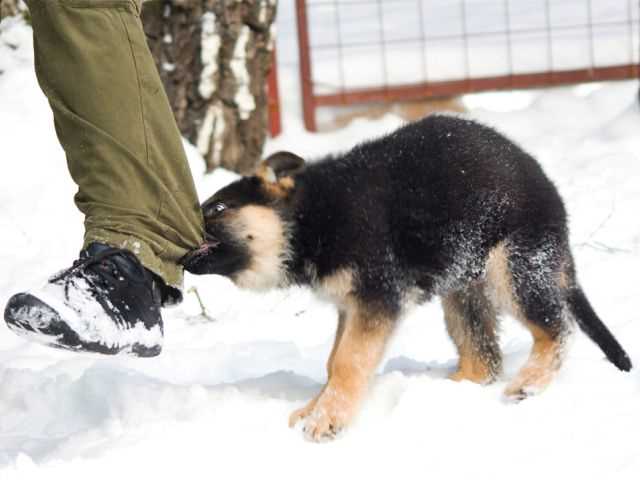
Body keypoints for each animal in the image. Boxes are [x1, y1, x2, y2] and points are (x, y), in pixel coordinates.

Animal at [182, 114, 632, 440]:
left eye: (218, 209)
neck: (310, 217)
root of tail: (549, 191)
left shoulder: (375, 298)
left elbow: (347, 361)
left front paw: (329, 417)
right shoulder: (351, 305)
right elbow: (333, 361)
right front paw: (316, 407)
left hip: (514, 267)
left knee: (557, 327)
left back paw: (530, 382)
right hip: (464, 286)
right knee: (484, 357)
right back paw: (449, 390)